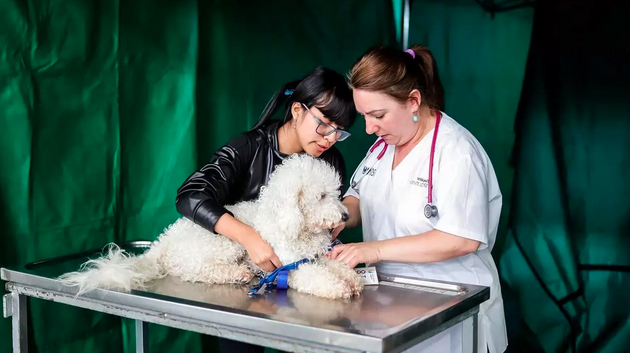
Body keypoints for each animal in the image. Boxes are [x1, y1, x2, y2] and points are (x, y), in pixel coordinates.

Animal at [60, 154, 366, 300]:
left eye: (335, 192)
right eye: (321, 196)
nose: (343, 216)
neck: (297, 226)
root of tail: (163, 243)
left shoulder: (315, 256)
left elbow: (334, 265)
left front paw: (351, 278)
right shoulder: (288, 267)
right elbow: (314, 277)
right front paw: (337, 287)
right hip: (224, 243)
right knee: (193, 269)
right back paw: (238, 274)